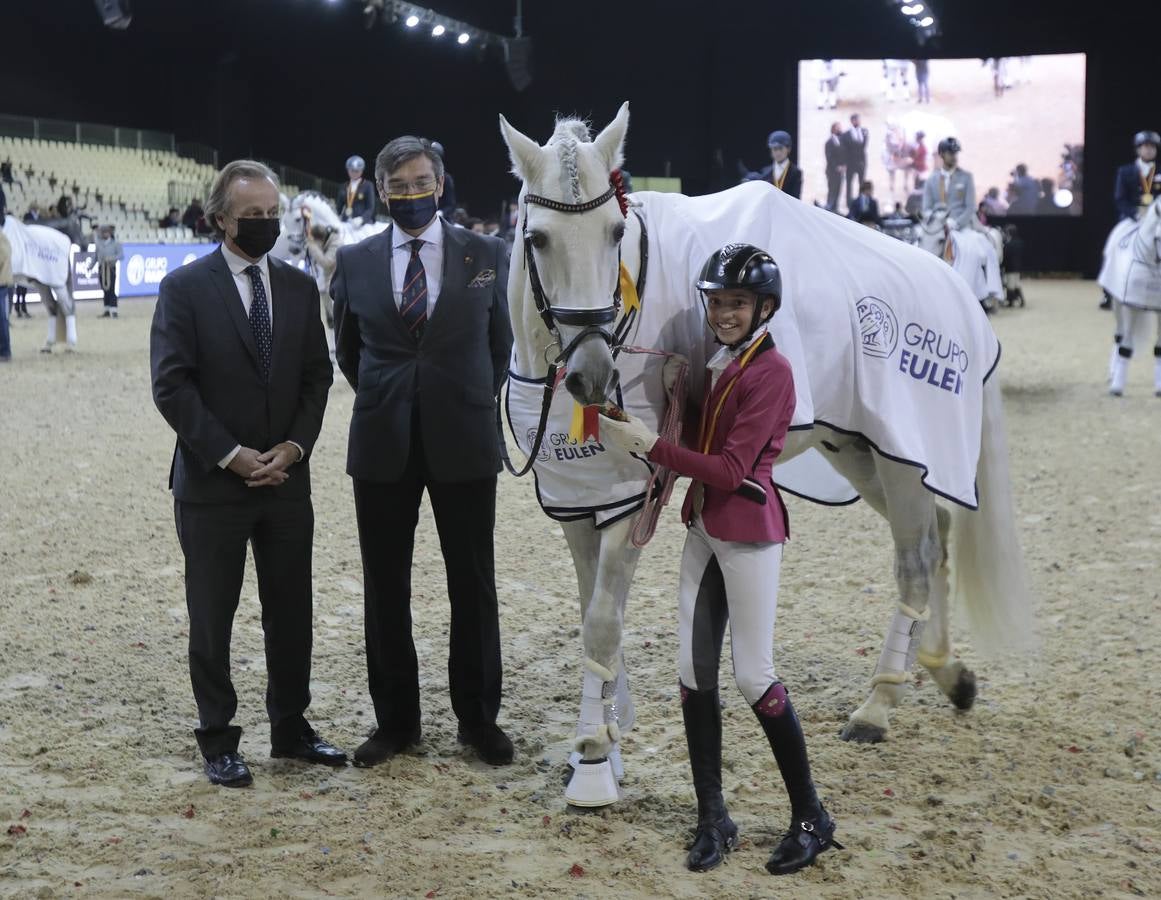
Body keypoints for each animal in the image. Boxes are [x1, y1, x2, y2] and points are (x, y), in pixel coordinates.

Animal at [1, 213, 77, 353]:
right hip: (42, 285)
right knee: (52, 307)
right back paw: (48, 345)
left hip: (59, 284)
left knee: (68, 308)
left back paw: (70, 345)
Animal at [499, 103, 1035, 808]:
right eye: (538, 239)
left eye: (616, 231)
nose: (593, 374)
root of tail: (953, 287)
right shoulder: (578, 498)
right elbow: (593, 610)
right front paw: (606, 738)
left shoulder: (631, 503)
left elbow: (603, 622)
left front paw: (591, 757)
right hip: (865, 452)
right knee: (937, 536)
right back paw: (948, 673)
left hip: (903, 456)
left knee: (917, 559)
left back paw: (878, 706)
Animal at [1095, 198, 1161, 397]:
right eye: (1158, 238)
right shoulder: (1131, 306)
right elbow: (1126, 348)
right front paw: (1117, 388)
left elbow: (1159, 349)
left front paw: (1159, 388)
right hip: (1118, 305)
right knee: (1120, 337)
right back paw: (1113, 374)